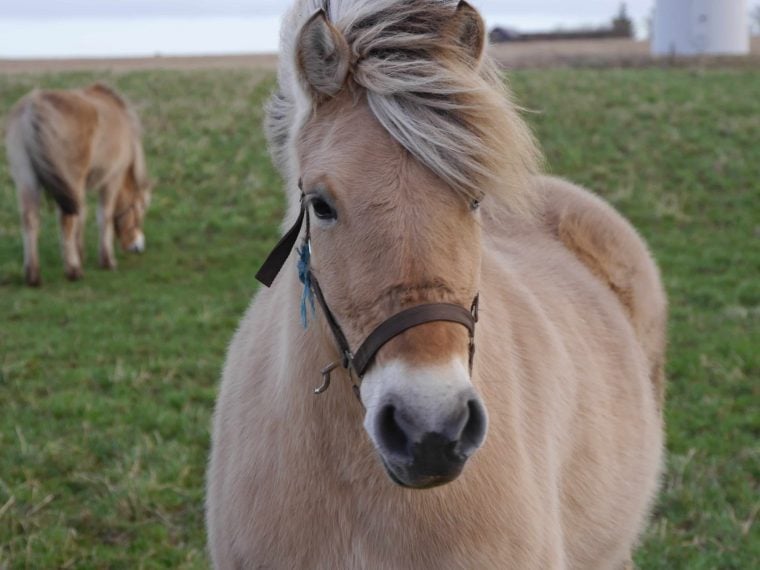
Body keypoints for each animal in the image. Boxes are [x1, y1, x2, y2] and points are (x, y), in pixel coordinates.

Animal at [4, 81, 151, 284]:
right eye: (140, 207)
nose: (138, 246)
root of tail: (35, 107)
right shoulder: (112, 179)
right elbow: (103, 216)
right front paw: (106, 260)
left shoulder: (79, 187)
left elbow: (82, 214)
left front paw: (80, 253)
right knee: (66, 220)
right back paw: (73, 270)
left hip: (27, 180)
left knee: (30, 219)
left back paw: (33, 275)